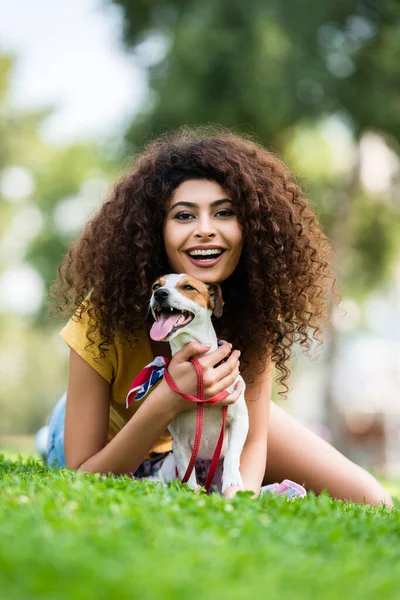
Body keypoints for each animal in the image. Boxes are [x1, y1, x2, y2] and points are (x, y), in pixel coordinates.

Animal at [150, 272, 248, 492]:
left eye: (188, 287)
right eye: (155, 286)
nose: (160, 294)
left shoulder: (240, 420)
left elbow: (232, 454)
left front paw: (232, 479)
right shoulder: (179, 443)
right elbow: (187, 472)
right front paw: (189, 492)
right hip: (169, 464)